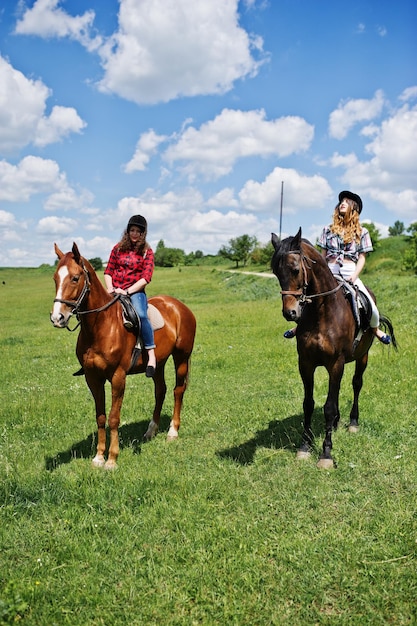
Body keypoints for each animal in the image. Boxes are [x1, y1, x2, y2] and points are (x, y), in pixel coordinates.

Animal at [50, 241, 197, 466]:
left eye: (75, 278)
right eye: (55, 278)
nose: (57, 318)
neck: (101, 326)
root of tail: (180, 307)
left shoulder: (118, 377)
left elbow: (113, 417)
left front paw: (112, 460)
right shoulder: (93, 378)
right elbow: (101, 417)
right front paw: (98, 457)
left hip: (181, 357)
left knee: (177, 390)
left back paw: (172, 431)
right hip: (159, 363)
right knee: (160, 391)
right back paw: (151, 431)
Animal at [272, 227, 394, 466]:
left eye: (295, 269)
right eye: (275, 272)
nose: (290, 313)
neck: (321, 313)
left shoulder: (335, 363)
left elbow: (328, 407)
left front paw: (326, 453)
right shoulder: (306, 364)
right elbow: (309, 404)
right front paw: (305, 447)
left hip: (362, 357)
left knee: (356, 384)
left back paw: (352, 423)